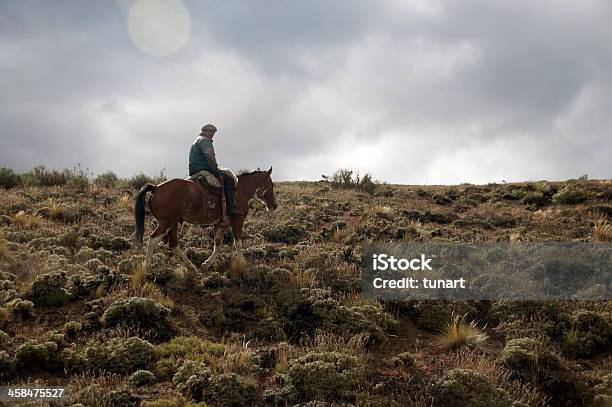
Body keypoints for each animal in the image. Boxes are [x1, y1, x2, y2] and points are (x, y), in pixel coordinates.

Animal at [136, 167, 278, 272]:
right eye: (271, 184)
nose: (275, 205)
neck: (240, 190)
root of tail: (156, 188)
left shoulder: (220, 225)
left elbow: (218, 245)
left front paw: (206, 264)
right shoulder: (237, 221)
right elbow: (238, 243)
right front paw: (242, 263)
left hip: (173, 223)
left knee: (174, 244)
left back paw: (191, 267)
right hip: (166, 223)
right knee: (153, 239)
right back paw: (146, 267)